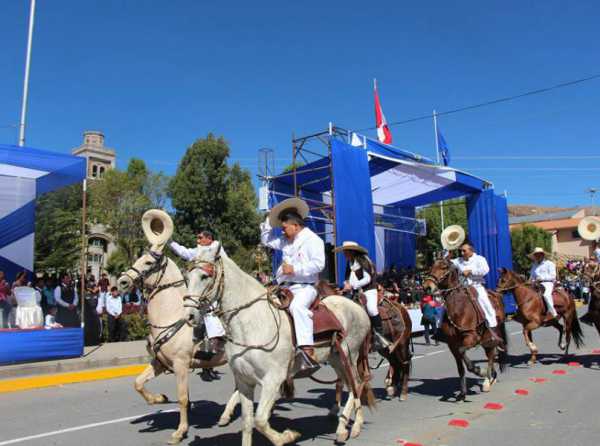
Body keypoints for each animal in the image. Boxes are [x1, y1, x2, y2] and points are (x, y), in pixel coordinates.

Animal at [188, 244, 376, 446]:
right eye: (187, 277)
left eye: (204, 276)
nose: (190, 315)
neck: (252, 322)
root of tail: (358, 308)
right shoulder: (244, 380)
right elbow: (247, 421)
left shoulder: (273, 380)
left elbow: (260, 420)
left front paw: (287, 436)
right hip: (336, 360)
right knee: (352, 385)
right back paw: (350, 426)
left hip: (350, 356)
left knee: (357, 384)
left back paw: (347, 429)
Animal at [422, 258, 506, 400]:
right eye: (431, 267)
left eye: (444, 267)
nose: (427, 286)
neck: (458, 309)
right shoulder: (452, 344)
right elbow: (460, 366)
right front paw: (462, 393)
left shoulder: (471, 337)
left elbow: (463, 353)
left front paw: (479, 371)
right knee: (491, 353)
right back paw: (491, 378)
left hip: (491, 334)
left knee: (490, 355)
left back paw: (487, 381)